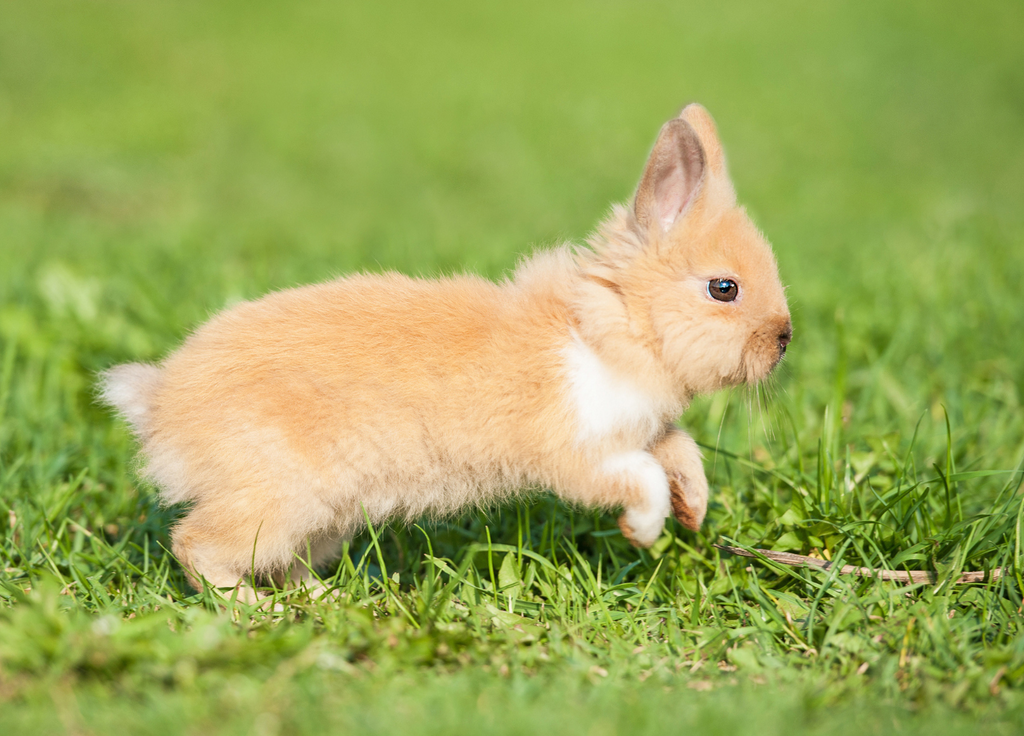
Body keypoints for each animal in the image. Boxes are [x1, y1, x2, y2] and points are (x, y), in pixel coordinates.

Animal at [99, 103, 790, 597]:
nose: (783, 340)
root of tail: (157, 407)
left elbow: (680, 450)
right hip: (276, 501)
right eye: (724, 289)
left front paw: (694, 511)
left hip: (323, 519)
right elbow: (641, 476)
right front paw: (644, 532)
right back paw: (254, 610)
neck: (611, 327)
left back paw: (328, 600)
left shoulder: (642, 428)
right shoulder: (578, 456)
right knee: (197, 546)